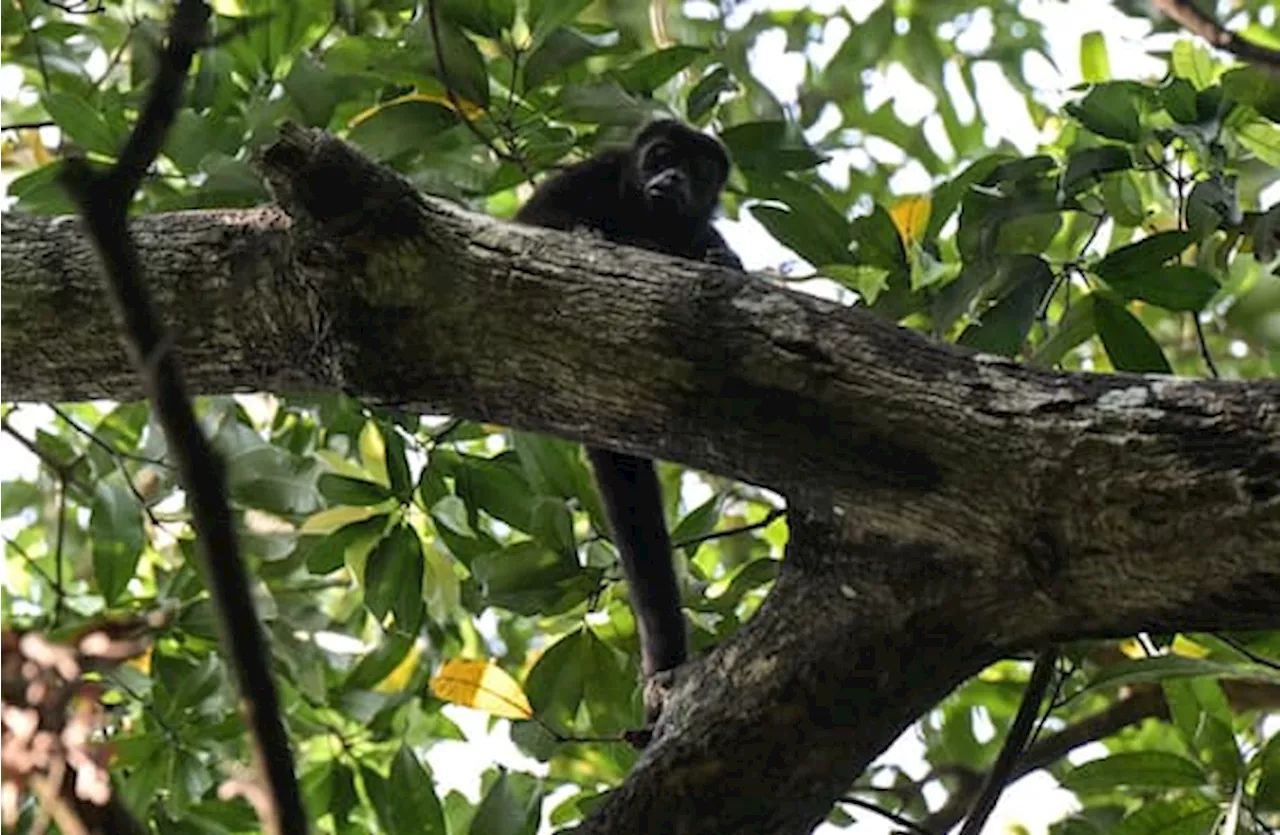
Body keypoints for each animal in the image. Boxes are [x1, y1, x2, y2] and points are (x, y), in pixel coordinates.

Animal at [514, 119, 747, 696]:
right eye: (661, 156)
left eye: (698, 170)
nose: (672, 177)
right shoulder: (587, 174)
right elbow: (531, 223)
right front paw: (592, 237)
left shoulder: (700, 229)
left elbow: (720, 256)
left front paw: (722, 264)